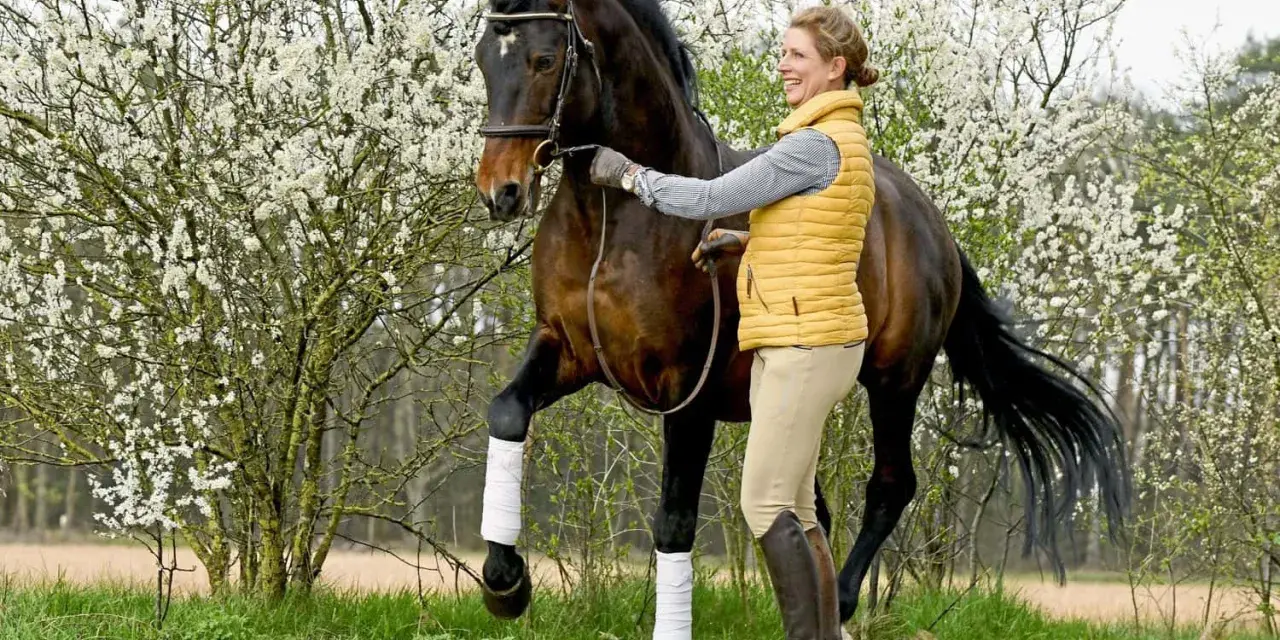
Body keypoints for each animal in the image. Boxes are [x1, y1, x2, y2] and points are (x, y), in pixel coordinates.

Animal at [470, 0, 1128, 628]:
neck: (613, 221)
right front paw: (506, 582)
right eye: (482, 59)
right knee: (809, 513)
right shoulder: (567, 349)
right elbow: (506, 412)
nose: (501, 191)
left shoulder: (688, 392)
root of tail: (930, 220)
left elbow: (675, 523)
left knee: (890, 486)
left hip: (895, 382)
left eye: (545, 60)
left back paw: (844, 600)